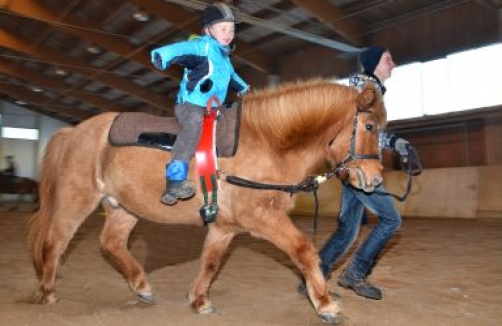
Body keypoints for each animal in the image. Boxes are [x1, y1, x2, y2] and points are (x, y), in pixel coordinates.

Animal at [27, 79, 386, 324]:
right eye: (369, 126)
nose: (375, 179)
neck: (268, 144)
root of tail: (73, 132)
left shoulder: (225, 226)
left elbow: (210, 262)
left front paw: (199, 300)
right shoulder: (262, 218)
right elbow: (304, 251)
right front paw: (326, 304)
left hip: (123, 207)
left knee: (111, 243)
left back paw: (142, 287)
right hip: (76, 200)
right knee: (55, 243)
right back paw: (46, 292)